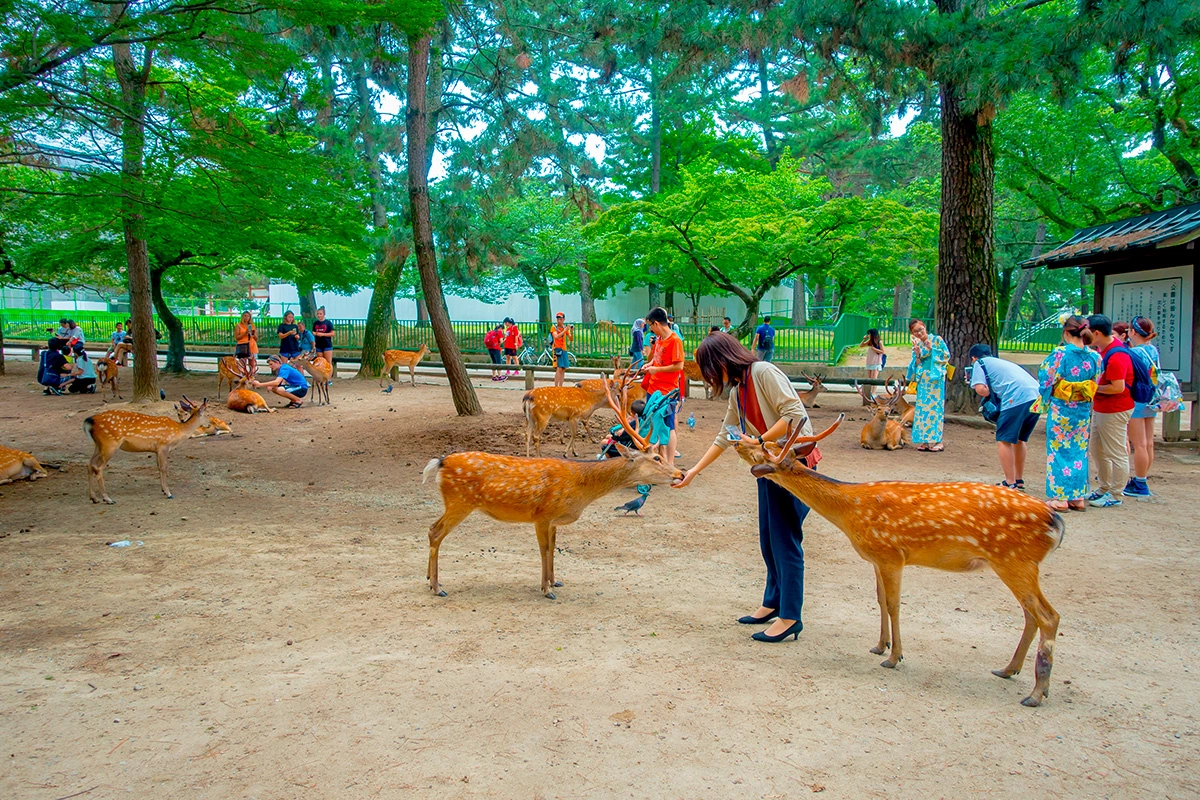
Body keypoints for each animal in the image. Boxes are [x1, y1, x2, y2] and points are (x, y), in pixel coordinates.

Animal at [424, 371, 686, 597]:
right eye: (656, 458)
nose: (680, 474)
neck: (580, 488)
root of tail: (440, 462)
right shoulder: (542, 514)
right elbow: (545, 550)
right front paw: (546, 589)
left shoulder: (553, 521)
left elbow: (554, 548)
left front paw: (555, 581)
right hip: (459, 501)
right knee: (435, 532)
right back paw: (437, 587)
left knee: (431, 529)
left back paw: (430, 580)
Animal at [734, 417, 1065, 710]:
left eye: (763, 449)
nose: (738, 441)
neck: (849, 512)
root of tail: (1055, 522)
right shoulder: (876, 559)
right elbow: (880, 601)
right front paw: (879, 645)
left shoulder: (891, 554)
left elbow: (894, 605)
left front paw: (894, 658)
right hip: (1016, 564)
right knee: (1032, 615)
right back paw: (1008, 669)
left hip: (1015, 560)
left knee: (1049, 616)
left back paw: (1036, 693)